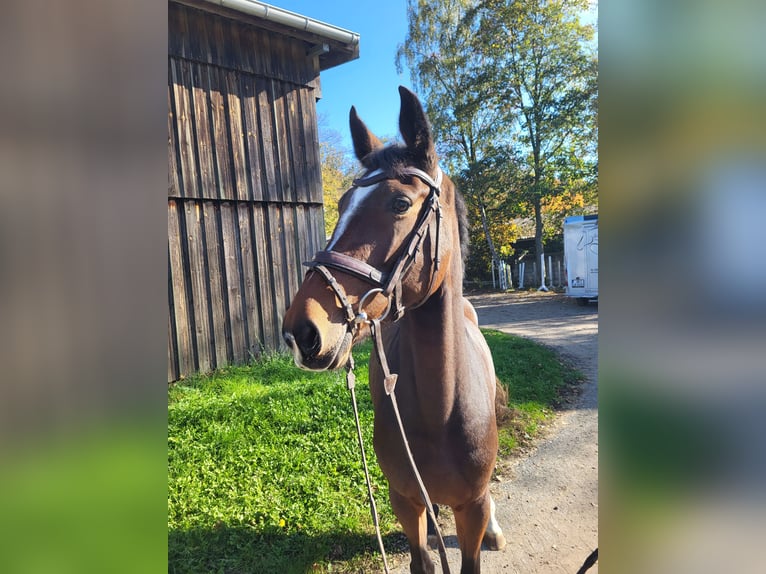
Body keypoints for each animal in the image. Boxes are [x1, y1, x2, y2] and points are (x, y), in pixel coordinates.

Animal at [282, 86, 504, 574]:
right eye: (341, 206)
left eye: (400, 203)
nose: (301, 332)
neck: (442, 409)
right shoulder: (404, 501)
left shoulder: (472, 507)